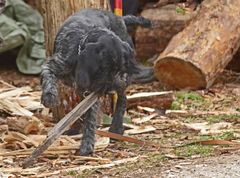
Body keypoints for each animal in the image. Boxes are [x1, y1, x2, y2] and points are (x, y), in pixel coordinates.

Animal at [40, 8, 151, 156]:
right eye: (104, 68)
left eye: (119, 69)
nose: (112, 86)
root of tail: (120, 18)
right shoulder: (55, 65)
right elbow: (48, 77)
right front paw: (49, 97)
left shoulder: (94, 91)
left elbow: (90, 118)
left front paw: (87, 144)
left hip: (124, 80)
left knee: (123, 99)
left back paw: (116, 127)